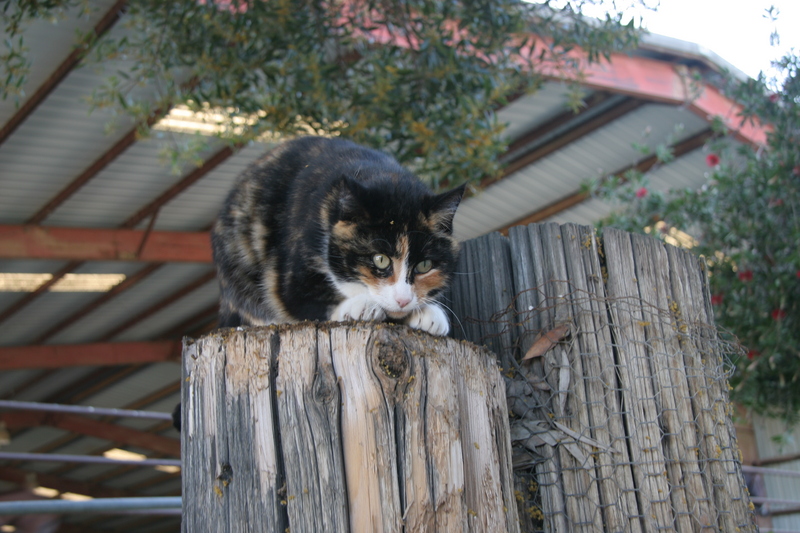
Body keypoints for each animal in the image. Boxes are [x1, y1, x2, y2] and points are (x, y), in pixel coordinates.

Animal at [211, 135, 466, 336]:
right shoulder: (286, 279)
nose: (402, 300)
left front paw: (430, 314)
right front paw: (360, 306)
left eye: (424, 265)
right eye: (380, 259)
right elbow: (306, 302)